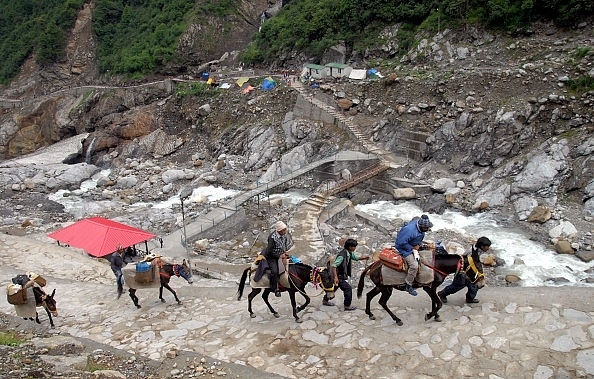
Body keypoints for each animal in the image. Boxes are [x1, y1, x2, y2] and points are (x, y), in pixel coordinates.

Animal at [354, 249, 484, 326]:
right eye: (478, 266)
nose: (481, 284)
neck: (436, 266)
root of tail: (372, 265)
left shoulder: (432, 287)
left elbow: (434, 302)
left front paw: (435, 316)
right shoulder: (428, 288)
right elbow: (439, 303)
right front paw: (429, 315)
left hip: (381, 287)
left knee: (369, 295)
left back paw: (370, 314)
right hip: (385, 289)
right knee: (382, 302)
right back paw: (397, 320)